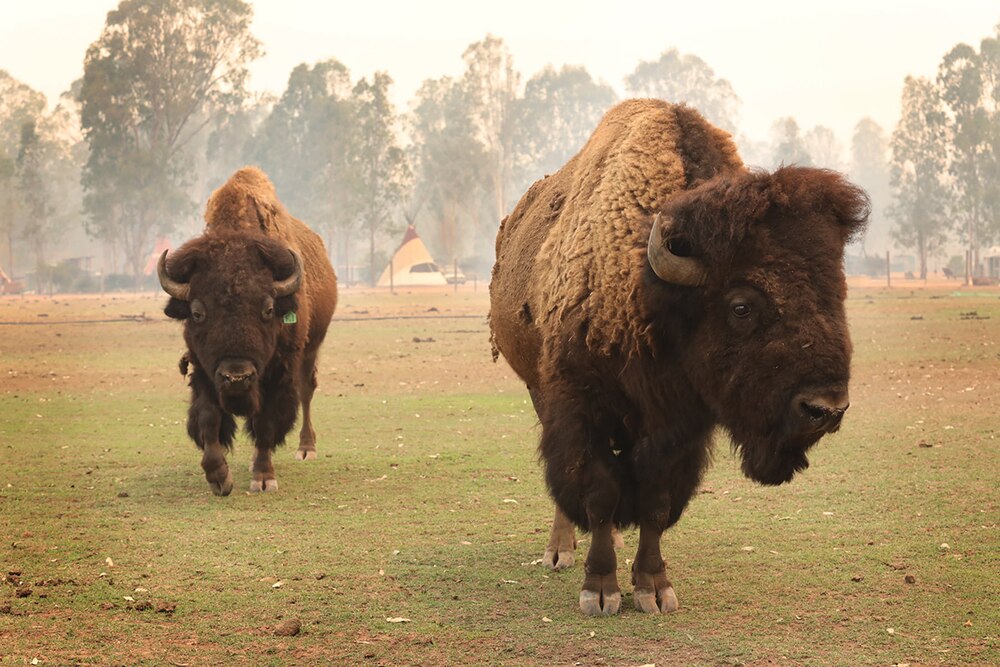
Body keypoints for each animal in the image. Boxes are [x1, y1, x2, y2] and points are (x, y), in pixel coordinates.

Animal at [159, 167, 338, 495]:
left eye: (268, 309)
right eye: (197, 312)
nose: (236, 377)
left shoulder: (277, 374)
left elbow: (265, 425)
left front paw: (263, 478)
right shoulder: (203, 370)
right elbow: (208, 420)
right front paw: (219, 477)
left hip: (311, 350)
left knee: (306, 392)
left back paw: (306, 449)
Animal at [489, 99, 869, 615]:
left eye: (838, 295)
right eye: (741, 305)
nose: (825, 409)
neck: (648, 293)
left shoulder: (680, 428)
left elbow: (657, 500)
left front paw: (653, 588)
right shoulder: (580, 407)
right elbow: (598, 492)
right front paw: (601, 590)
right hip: (537, 389)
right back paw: (560, 551)